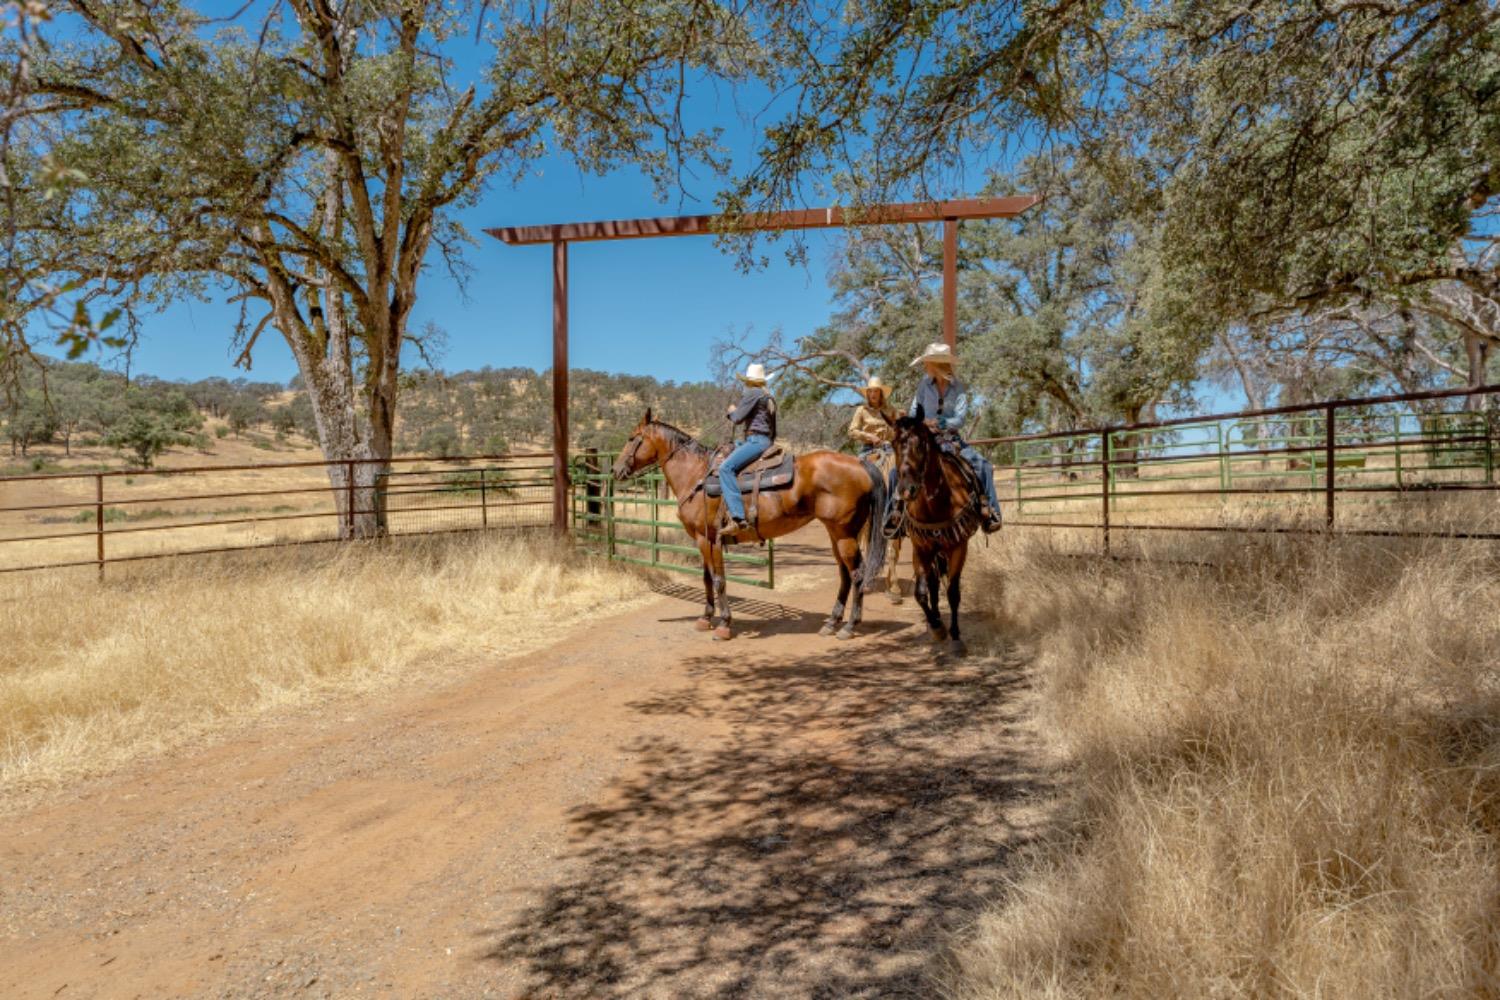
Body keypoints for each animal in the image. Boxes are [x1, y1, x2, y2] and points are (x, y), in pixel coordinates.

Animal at [609, 413, 882, 641]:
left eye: (632, 438)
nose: (615, 469)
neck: (696, 475)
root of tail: (860, 464)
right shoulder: (701, 538)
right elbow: (707, 578)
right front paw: (705, 618)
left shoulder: (710, 539)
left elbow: (718, 579)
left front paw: (723, 624)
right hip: (837, 533)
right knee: (844, 574)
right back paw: (831, 623)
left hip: (845, 533)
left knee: (857, 574)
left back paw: (849, 627)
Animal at [888, 407, 984, 656]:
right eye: (893, 443)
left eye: (921, 443)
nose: (907, 490)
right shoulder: (921, 548)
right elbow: (921, 592)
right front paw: (937, 628)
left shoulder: (958, 547)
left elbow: (953, 592)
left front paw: (956, 637)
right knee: (931, 584)